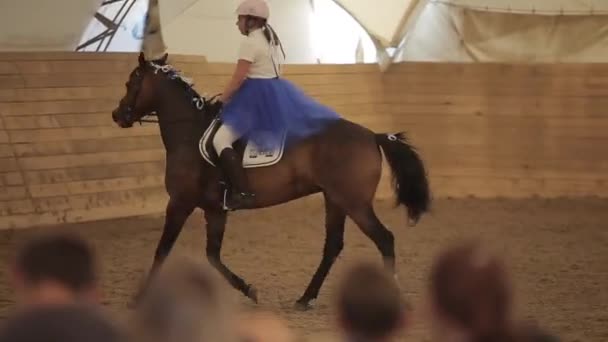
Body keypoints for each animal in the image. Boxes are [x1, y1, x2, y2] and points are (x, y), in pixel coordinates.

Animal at [110, 52, 432, 310]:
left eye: (130, 83)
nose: (117, 115)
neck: (189, 133)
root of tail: (372, 135)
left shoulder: (180, 203)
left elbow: (162, 251)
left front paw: (140, 298)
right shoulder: (214, 210)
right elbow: (212, 256)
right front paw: (249, 290)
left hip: (355, 203)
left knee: (384, 239)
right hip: (335, 200)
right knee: (333, 246)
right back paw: (305, 298)